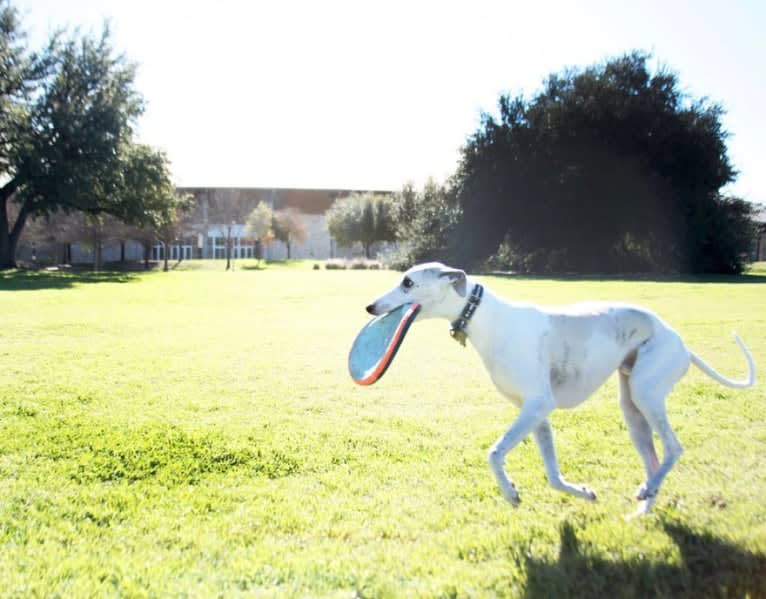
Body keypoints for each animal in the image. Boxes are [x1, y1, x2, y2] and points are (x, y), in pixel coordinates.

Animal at [368, 262, 760, 516]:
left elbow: (494, 453)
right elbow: (554, 476)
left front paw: (510, 492)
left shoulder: (537, 405)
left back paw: (649, 491)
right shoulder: (537, 414)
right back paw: (644, 508)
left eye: (407, 282)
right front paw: (583, 493)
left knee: (674, 448)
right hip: (631, 407)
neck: (486, 318)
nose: (370, 306)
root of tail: (682, 344)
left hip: (646, 393)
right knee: (652, 458)